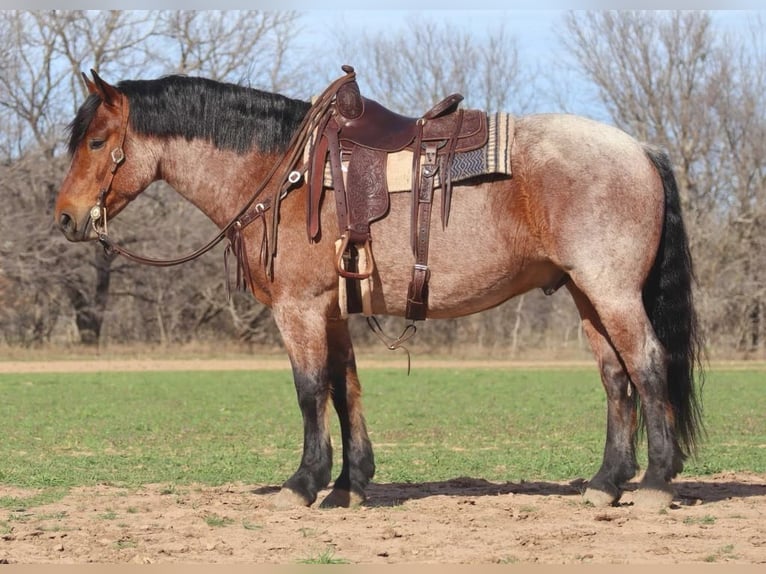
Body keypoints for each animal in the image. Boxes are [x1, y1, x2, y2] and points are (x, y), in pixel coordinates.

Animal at [52, 68, 704, 512]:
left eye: (95, 142)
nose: (65, 218)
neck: (284, 172)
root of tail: (640, 149)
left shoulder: (299, 310)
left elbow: (310, 390)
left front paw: (304, 483)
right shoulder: (334, 311)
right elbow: (346, 389)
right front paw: (350, 483)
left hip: (612, 292)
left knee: (647, 366)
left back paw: (654, 484)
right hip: (586, 295)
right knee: (616, 378)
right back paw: (606, 483)